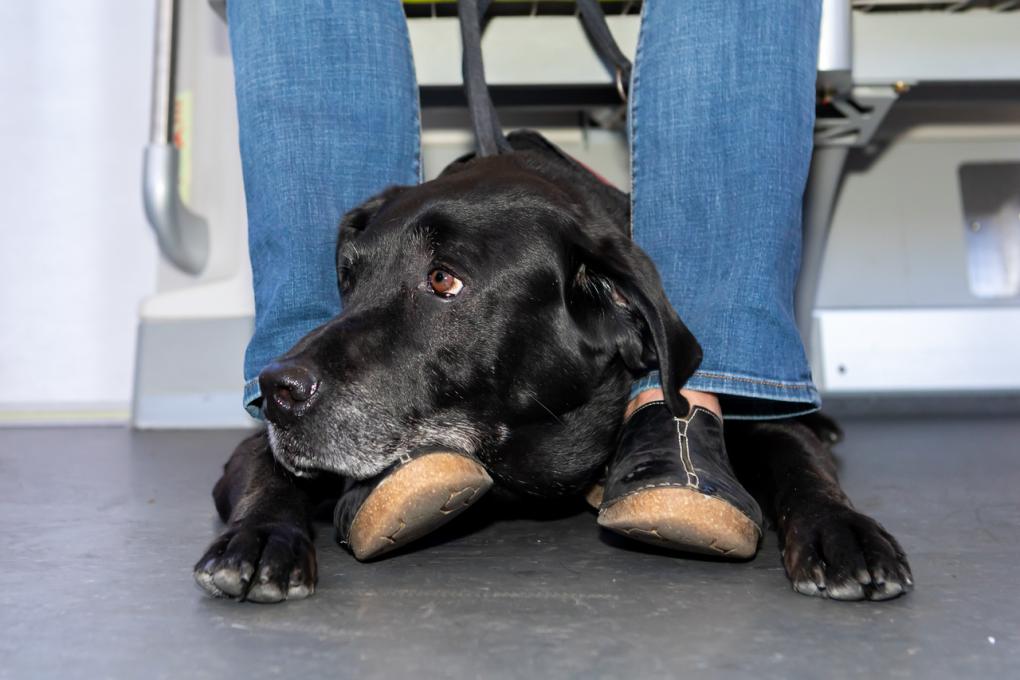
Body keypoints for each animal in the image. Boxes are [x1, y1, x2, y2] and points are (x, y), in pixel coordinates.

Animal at [194, 130, 913, 603]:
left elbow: (799, 456)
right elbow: (267, 473)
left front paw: (842, 532)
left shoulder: (759, 417)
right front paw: (260, 538)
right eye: (349, 280)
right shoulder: (254, 450)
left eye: (443, 280)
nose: (275, 388)